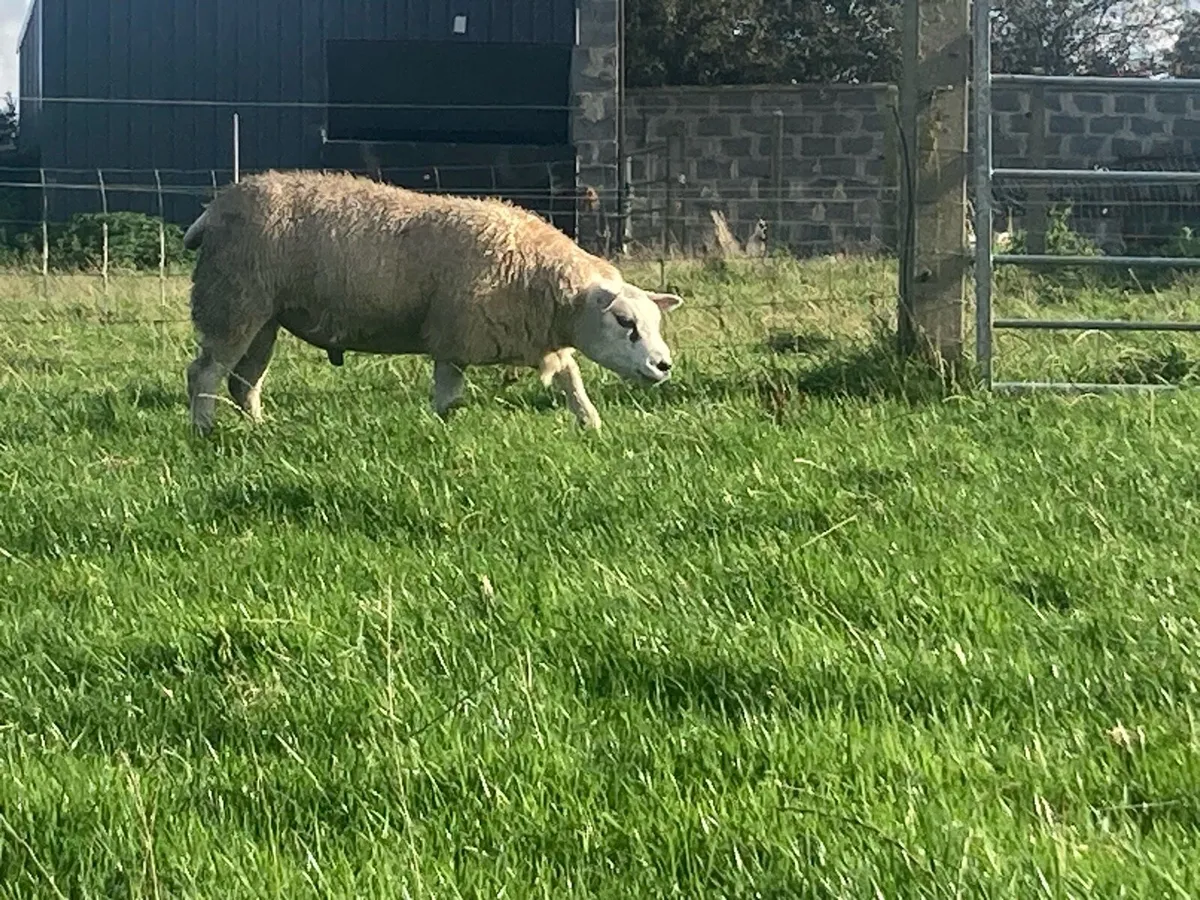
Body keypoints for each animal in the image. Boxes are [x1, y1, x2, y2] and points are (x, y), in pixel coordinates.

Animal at [181, 169, 684, 434]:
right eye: (625, 322)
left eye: (655, 323)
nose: (663, 365)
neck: (535, 276)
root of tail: (215, 207)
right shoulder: (455, 336)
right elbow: (449, 396)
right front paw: (446, 431)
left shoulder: (535, 336)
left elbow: (571, 379)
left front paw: (591, 423)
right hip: (232, 303)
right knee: (204, 373)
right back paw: (205, 430)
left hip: (263, 317)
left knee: (244, 382)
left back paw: (257, 428)